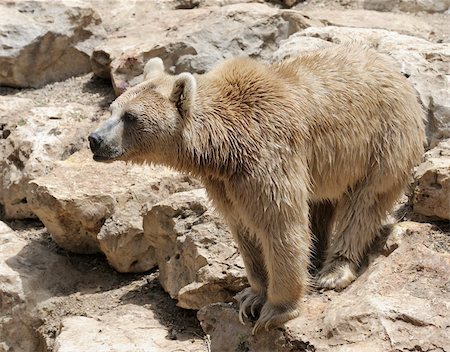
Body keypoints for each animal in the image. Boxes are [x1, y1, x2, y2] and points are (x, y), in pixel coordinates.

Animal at [88, 44, 426, 332]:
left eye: (130, 116)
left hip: (383, 142)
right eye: (113, 108)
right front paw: (250, 297)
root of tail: (396, 72)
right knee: (321, 206)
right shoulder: (226, 182)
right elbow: (245, 229)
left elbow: (279, 223)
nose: (95, 139)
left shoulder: (266, 156)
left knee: (364, 205)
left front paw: (276, 310)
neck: (222, 146)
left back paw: (333, 271)